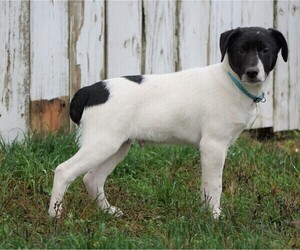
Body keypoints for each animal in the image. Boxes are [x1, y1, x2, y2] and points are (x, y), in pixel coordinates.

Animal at [49, 26, 288, 219]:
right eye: (240, 51)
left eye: (266, 50)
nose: (252, 72)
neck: (231, 82)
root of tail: (90, 90)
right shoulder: (213, 145)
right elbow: (214, 185)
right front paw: (215, 217)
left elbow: (206, 187)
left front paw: (205, 214)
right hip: (102, 143)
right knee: (64, 170)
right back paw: (55, 216)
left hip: (117, 146)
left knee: (92, 178)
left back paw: (108, 212)